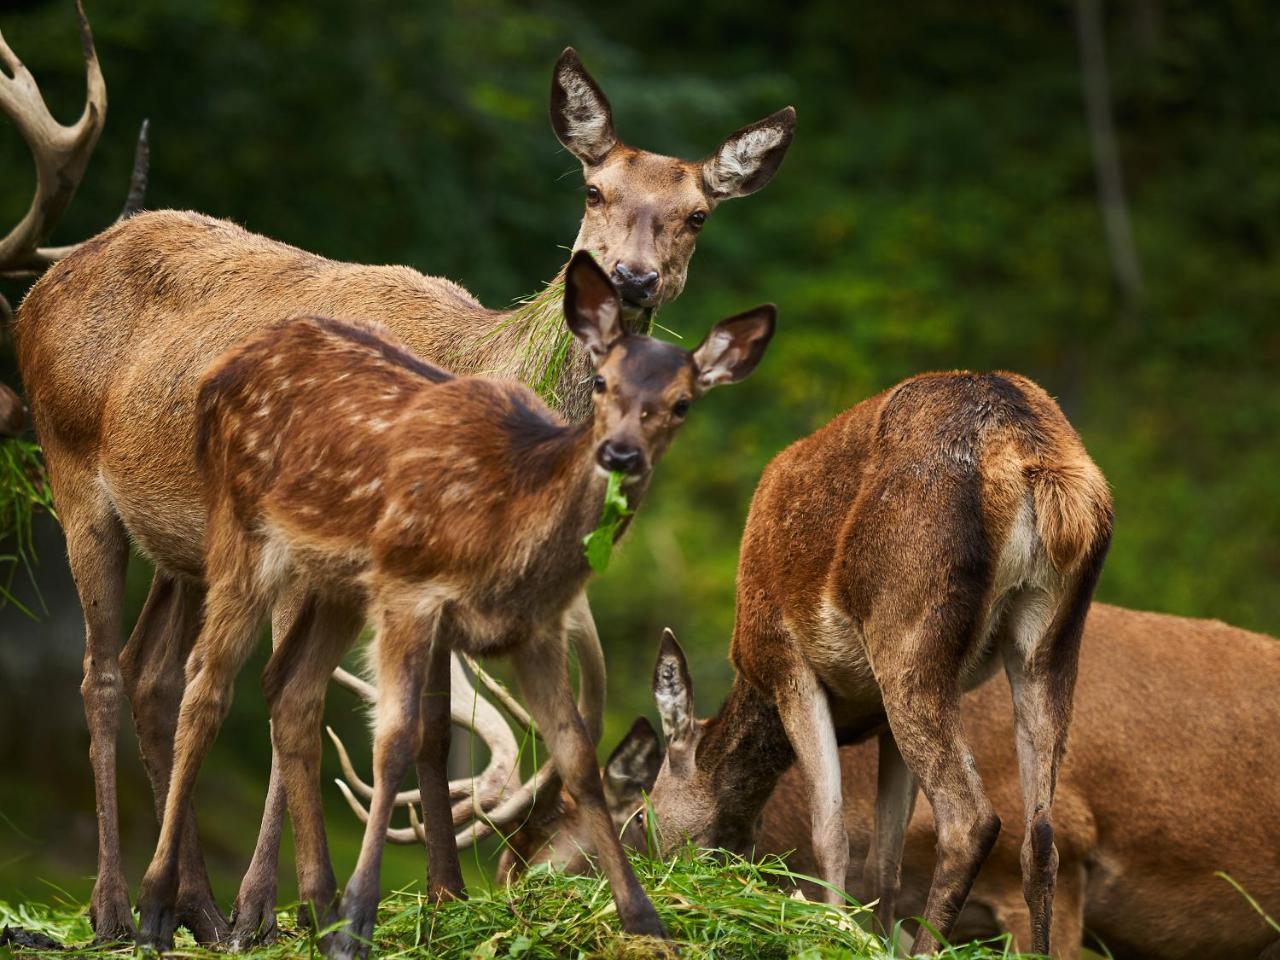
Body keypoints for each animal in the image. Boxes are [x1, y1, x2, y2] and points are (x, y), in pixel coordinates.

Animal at [135, 252, 778, 957]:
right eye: (602, 383)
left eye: (682, 402)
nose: (620, 453)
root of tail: (219, 371)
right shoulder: (410, 596)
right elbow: (394, 742)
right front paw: (361, 920)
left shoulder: (536, 631)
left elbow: (577, 757)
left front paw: (645, 922)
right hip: (241, 539)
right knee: (204, 686)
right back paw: (163, 909)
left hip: (335, 585)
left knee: (290, 689)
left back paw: (317, 907)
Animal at [629, 371, 1111, 957]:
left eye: (641, 814)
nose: (656, 874)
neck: (751, 682)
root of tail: (1030, 458)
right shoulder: (878, 718)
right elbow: (886, 859)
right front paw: (873, 935)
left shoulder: (788, 665)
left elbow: (830, 832)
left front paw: (834, 926)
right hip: (1050, 636)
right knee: (1041, 834)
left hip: (907, 628)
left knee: (969, 820)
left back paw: (927, 945)